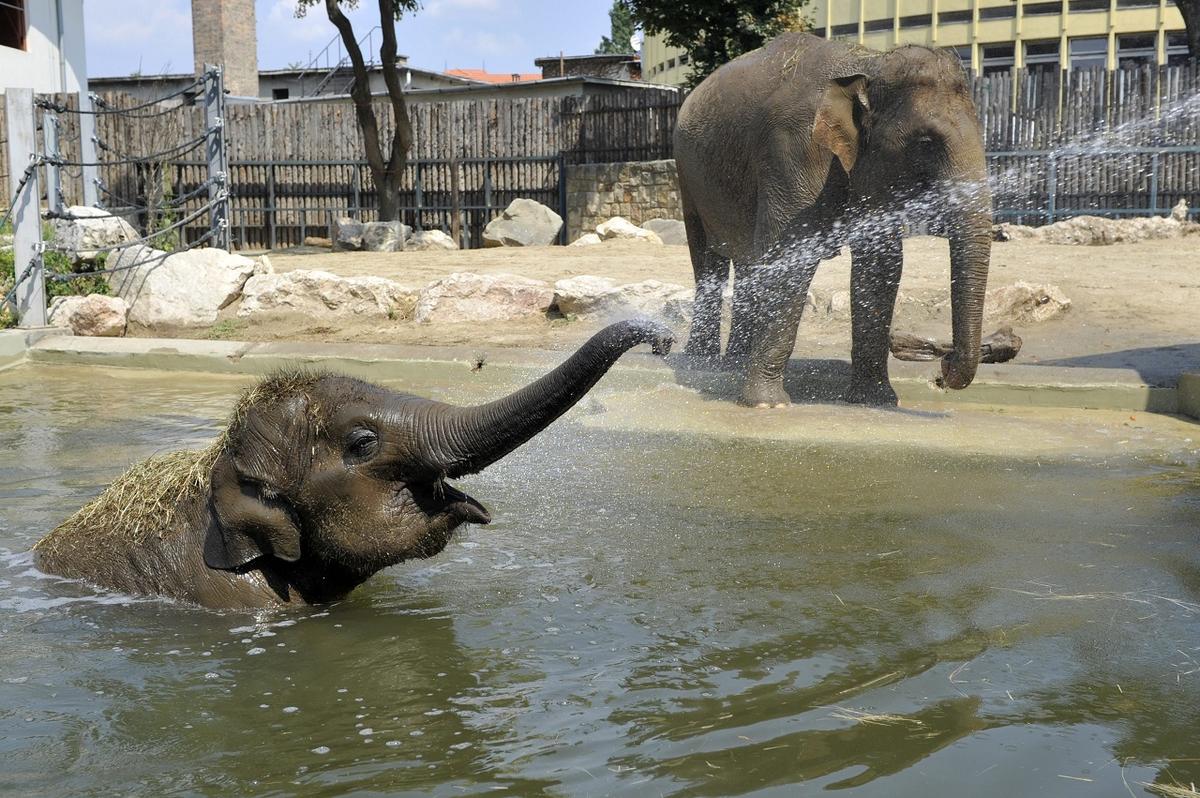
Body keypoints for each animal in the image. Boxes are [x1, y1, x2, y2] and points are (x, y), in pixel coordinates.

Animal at [676, 31, 993, 405]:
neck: (868, 63)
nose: (943, 366)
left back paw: (732, 365)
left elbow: (880, 265)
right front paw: (766, 404)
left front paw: (875, 401)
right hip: (686, 173)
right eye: (926, 142)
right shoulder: (795, 148)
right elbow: (789, 254)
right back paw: (703, 365)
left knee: (747, 261)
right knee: (707, 257)